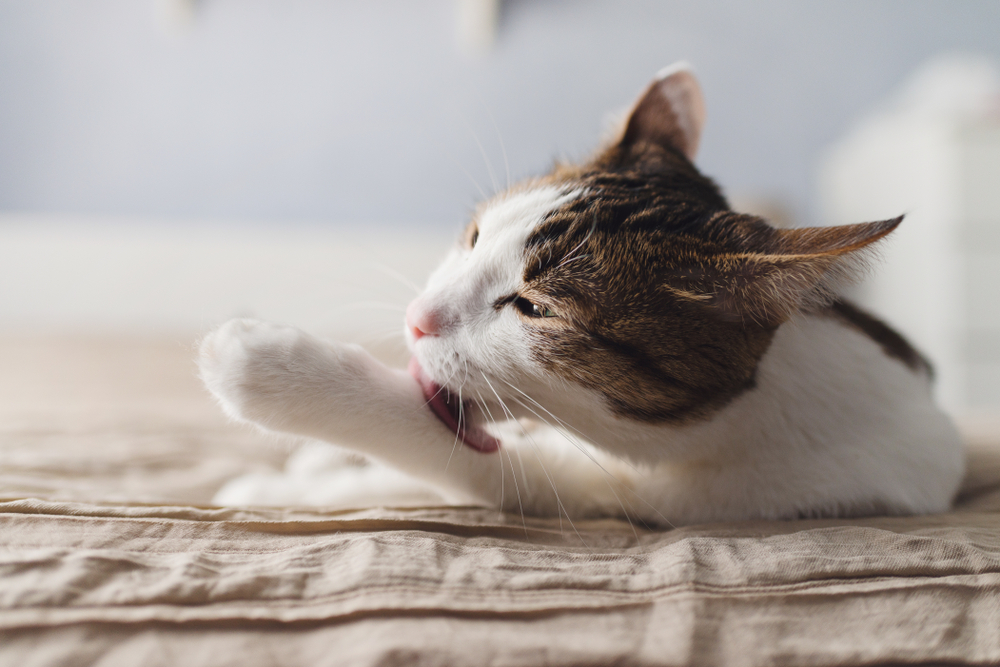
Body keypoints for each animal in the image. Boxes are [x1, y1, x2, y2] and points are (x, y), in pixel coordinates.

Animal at [199, 62, 964, 528]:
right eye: (473, 237)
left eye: (536, 309)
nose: (416, 321)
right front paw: (305, 471)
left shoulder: (670, 494)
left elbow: (453, 452)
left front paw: (269, 374)